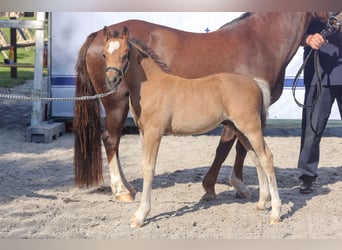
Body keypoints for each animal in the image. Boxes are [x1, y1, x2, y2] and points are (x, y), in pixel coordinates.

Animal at [73, 12, 340, 202]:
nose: (335, 22)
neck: (260, 43)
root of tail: (98, 35)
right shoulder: (239, 114)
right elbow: (228, 148)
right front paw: (217, 186)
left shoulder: (243, 114)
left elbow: (238, 147)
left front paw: (231, 184)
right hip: (115, 102)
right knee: (110, 139)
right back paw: (121, 190)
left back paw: (128, 186)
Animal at [103, 26, 282, 227]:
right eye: (104, 54)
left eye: (125, 54)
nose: (111, 80)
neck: (152, 86)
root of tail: (255, 82)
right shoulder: (143, 133)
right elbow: (145, 165)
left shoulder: (154, 133)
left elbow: (149, 168)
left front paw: (141, 216)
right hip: (240, 130)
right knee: (257, 158)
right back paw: (261, 203)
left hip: (251, 128)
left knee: (267, 158)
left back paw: (275, 213)